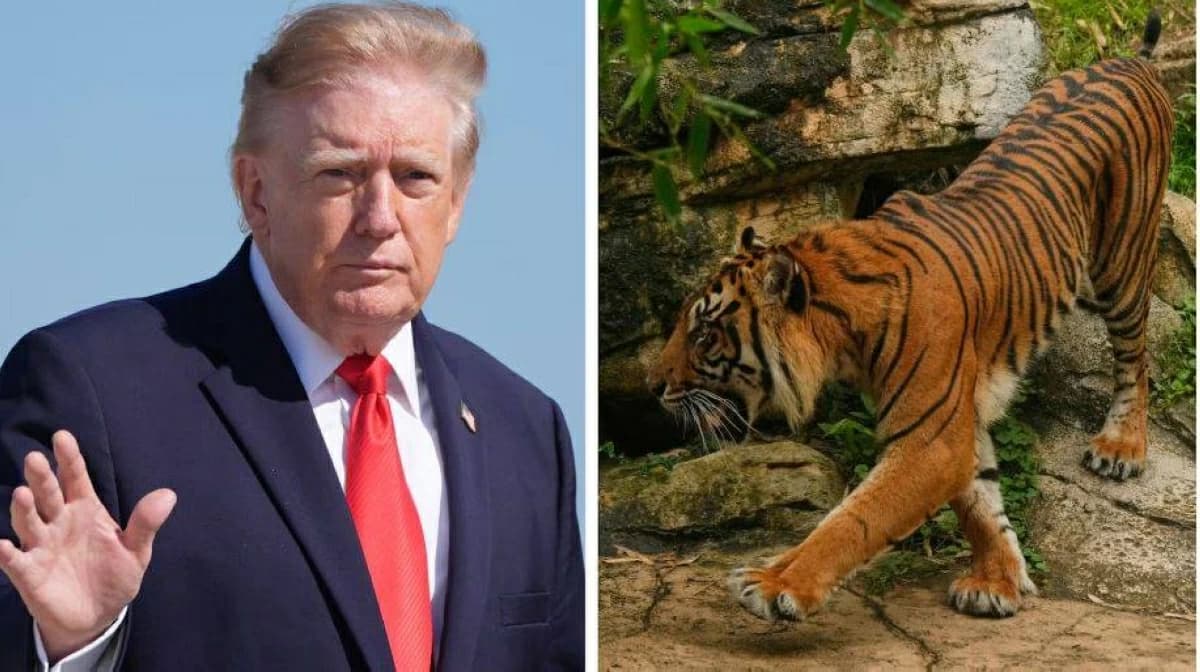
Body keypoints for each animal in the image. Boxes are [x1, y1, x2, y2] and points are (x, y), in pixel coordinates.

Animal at [647, 11, 1172, 622]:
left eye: (705, 333)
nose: (652, 385)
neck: (842, 335)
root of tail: (1131, 60)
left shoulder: (929, 437)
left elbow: (854, 517)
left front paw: (776, 583)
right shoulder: (958, 416)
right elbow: (980, 502)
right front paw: (998, 581)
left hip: (1122, 261)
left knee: (1137, 358)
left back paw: (1121, 448)